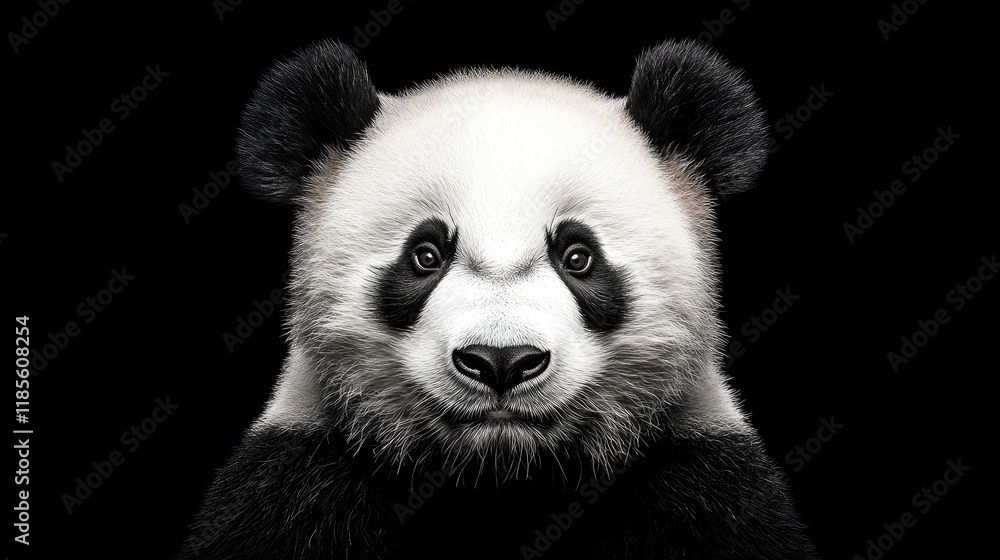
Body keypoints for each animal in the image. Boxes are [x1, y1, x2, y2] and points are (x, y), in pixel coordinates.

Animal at [176, 38, 820, 559]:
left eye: (578, 256)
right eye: (425, 255)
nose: (502, 361)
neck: (501, 474)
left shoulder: (706, 482)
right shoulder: (296, 476)